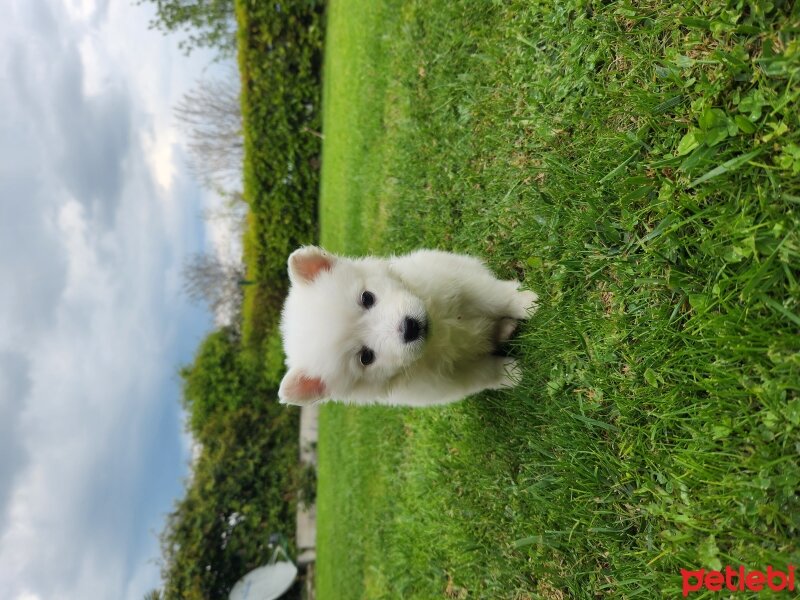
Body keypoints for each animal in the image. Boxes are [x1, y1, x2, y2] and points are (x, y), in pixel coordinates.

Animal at [280, 245, 536, 408]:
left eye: (367, 298)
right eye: (366, 357)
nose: (410, 328)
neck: (438, 330)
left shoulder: (459, 282)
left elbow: (495, 296)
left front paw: (526, 302)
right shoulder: (448, 381)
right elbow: (483, 374)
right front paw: (510, 374)